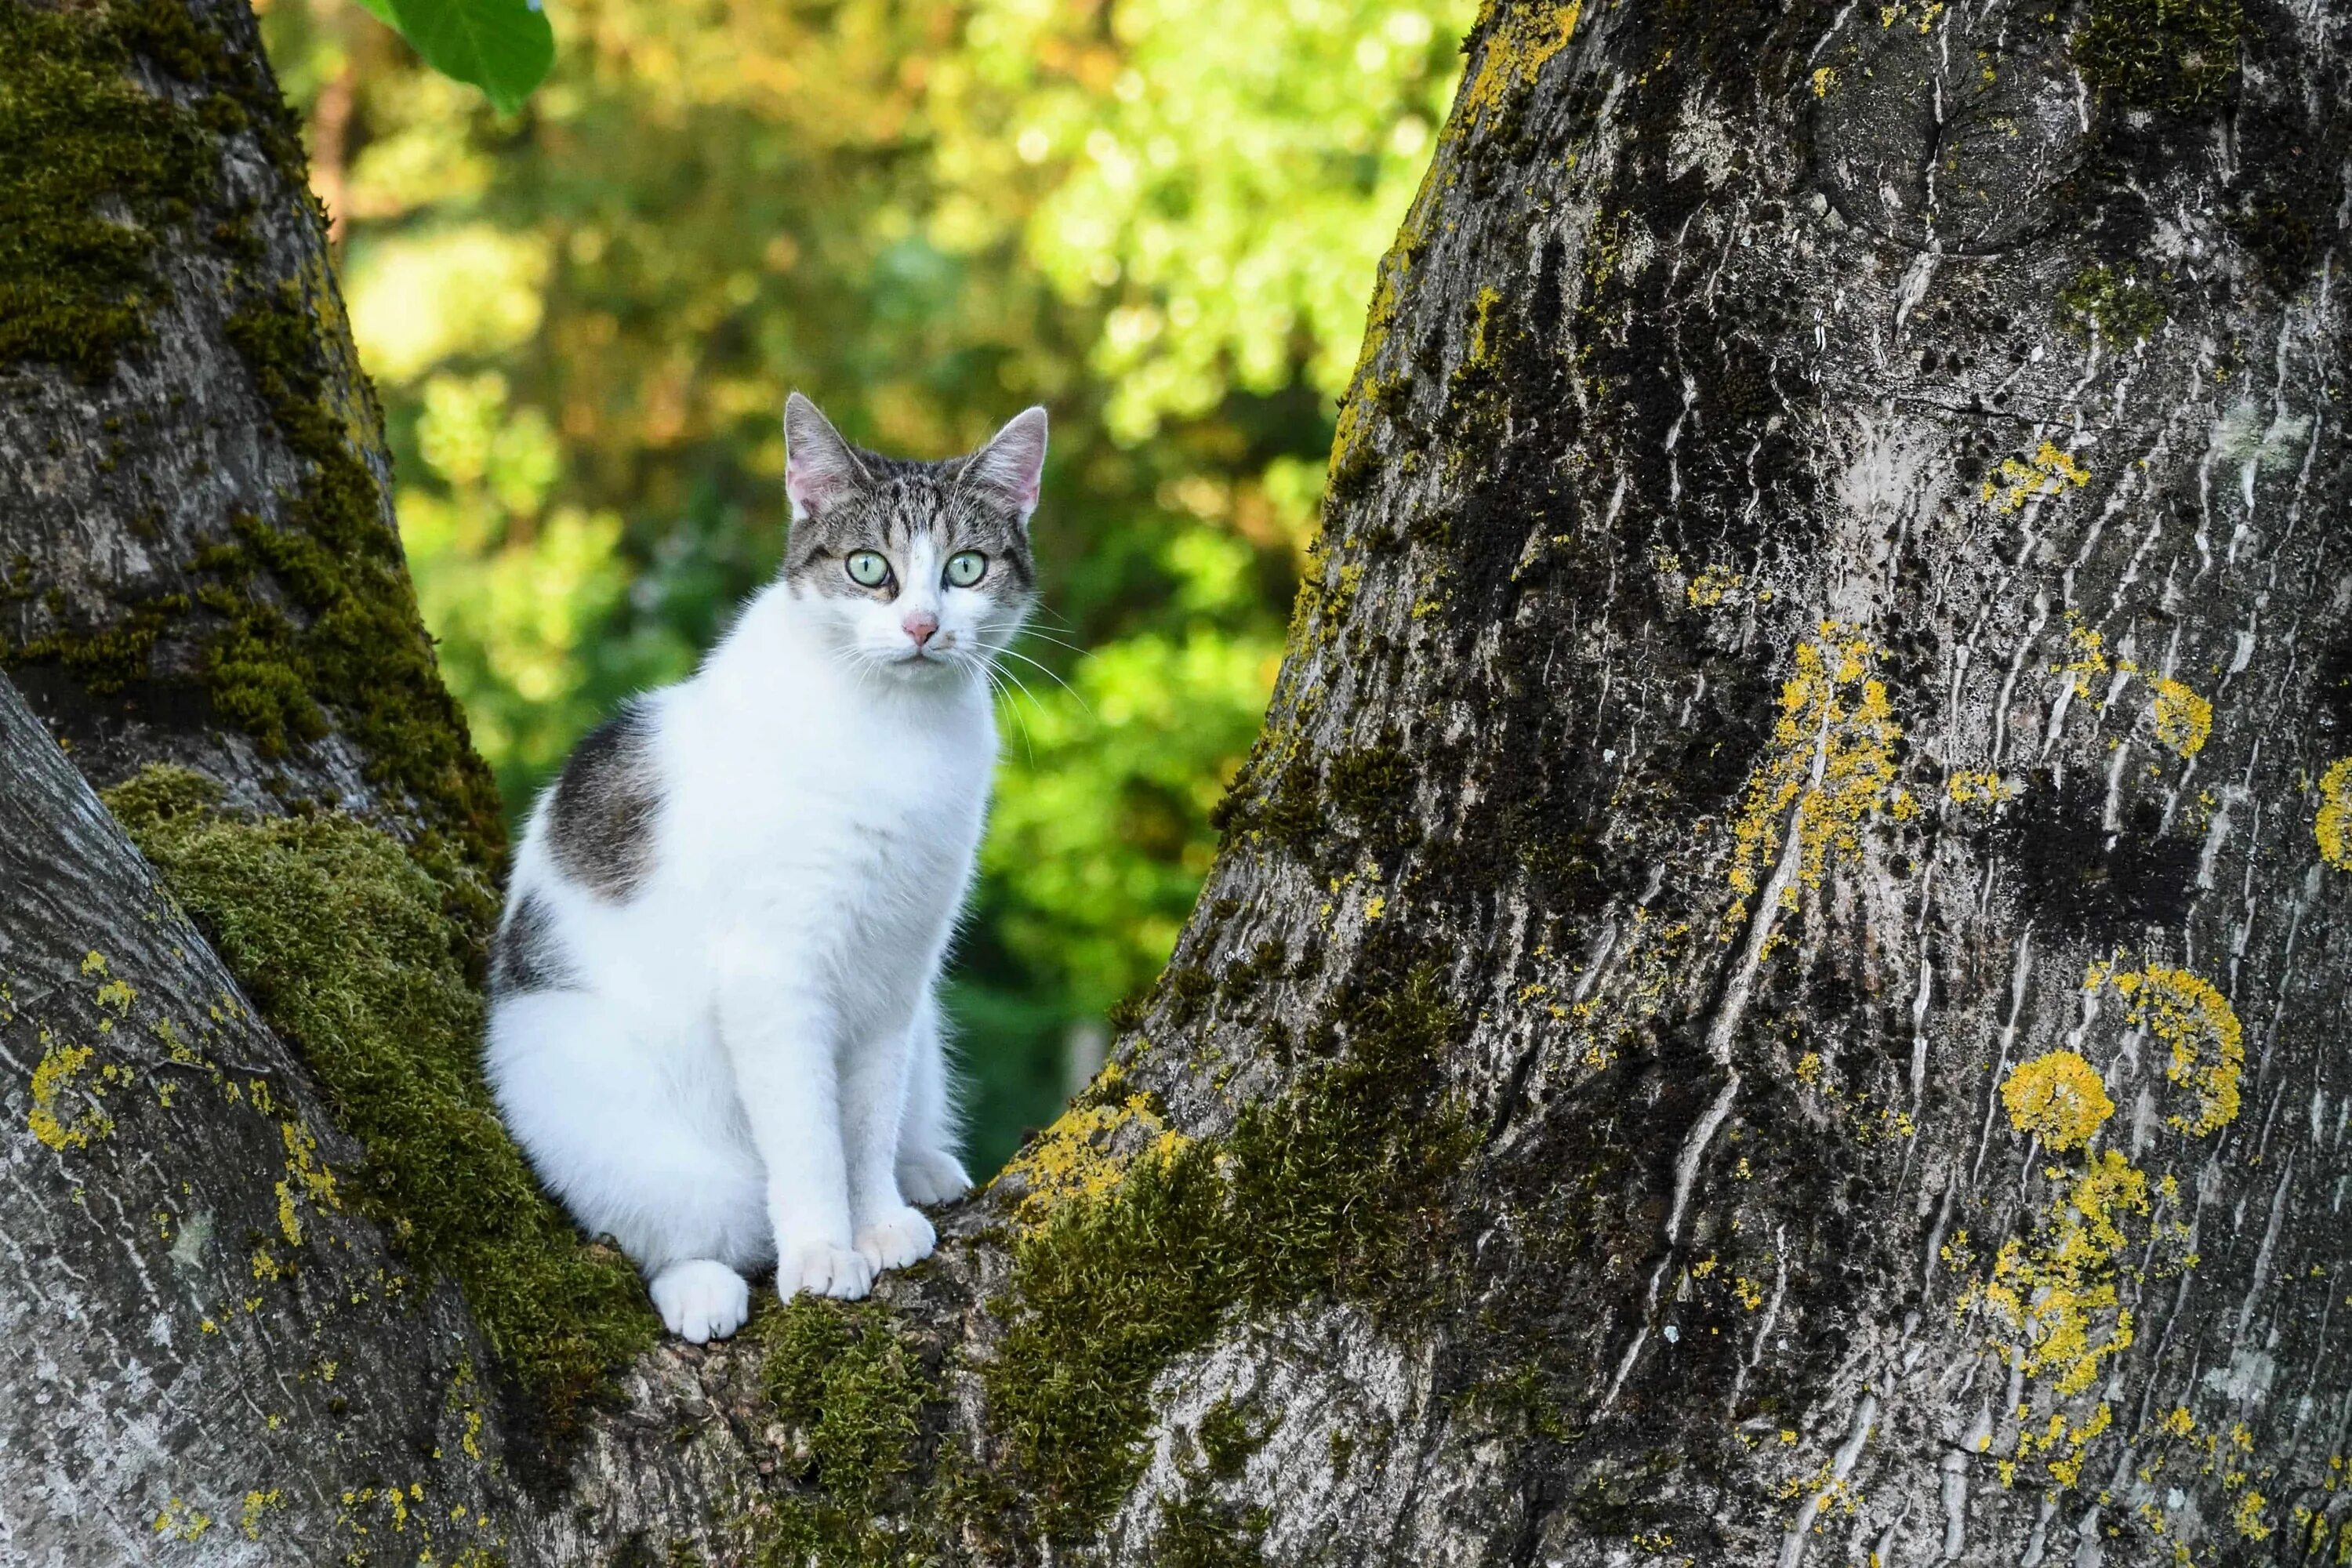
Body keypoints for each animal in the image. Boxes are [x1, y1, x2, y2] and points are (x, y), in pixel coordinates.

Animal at [482, 390, 1044, 1335]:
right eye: (868, 568)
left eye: (966, 569)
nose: (923, 626)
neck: (897, 731)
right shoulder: (775, 975)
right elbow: (811, 1138)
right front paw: (823, 1252)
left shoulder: (897, 972)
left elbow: (865, 1120)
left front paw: (878, 1219)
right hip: (589, 1099)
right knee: (665, 1227)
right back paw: (702, 1285)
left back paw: (925, 1167)